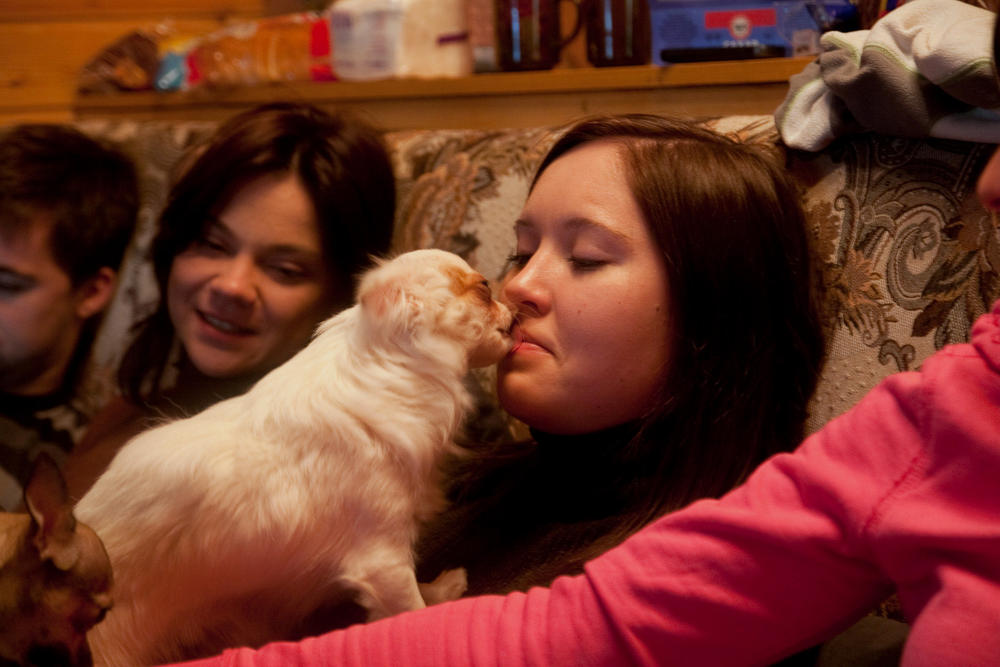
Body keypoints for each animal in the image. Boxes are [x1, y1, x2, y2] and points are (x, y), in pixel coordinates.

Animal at [74, 249, 514, 666]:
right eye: (484, 288)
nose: (510, 302)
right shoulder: (381, 557)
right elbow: (409, 608)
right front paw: (431, 608)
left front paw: (440, 590)